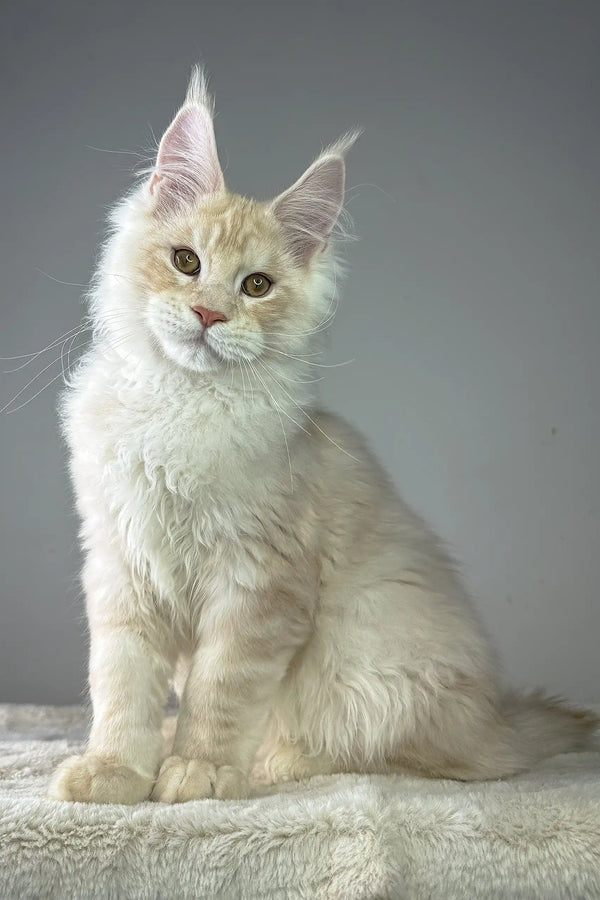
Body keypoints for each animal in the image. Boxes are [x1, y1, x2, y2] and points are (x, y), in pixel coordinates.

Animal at [50, 68, 596, 800]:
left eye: (256, 286)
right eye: (186, 262)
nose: (208, 314)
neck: (180, 408)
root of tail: (498, 719)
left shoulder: (259, 586)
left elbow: (219, 695)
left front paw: (199, 771)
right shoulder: (122, 567)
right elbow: (120, 688)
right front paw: (116, 771)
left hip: (373, 655)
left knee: (416, 755)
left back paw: (279, 760)